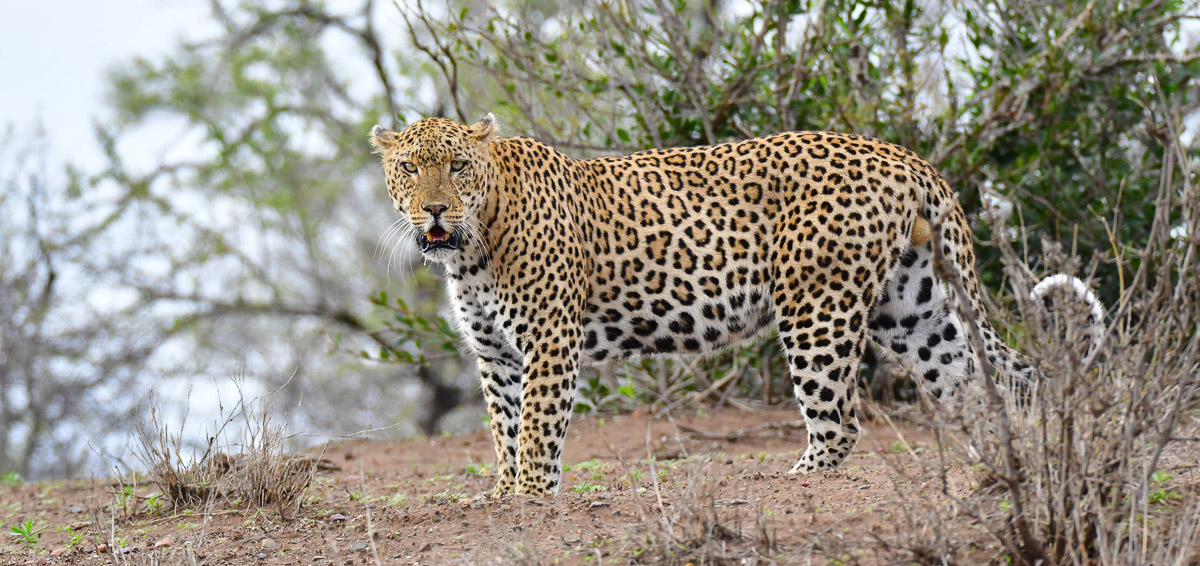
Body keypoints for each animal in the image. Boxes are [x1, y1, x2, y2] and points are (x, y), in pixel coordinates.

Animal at [370, 114, 1105, 497]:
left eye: (458, 166)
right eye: (409, 168)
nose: (434, 209)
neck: (471, 247)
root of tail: (903, 155)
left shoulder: (550, 341)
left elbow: (539, 429)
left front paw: (529, 496)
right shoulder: (496, 354)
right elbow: (504, 428)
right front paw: (501, 494)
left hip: (816, 307)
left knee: (840, 419)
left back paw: (794, 480)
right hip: (913, 310)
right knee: (978, 388)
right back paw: (997, 469)